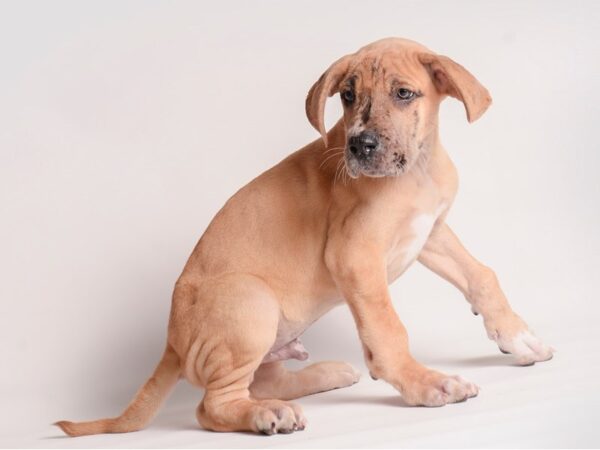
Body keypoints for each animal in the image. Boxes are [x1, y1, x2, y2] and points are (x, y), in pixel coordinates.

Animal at [56, 37, 552, 436]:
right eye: (348, 96)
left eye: (404, 93)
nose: (360, 146)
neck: (417, 170)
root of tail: (172, 344)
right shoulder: (355, 255)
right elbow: (389, 329)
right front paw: (425, 382)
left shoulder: (429, 232)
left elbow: (481, 274)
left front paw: (517, 336)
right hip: (249, 301)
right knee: (213, 407)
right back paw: (266, 415)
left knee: (263, 381)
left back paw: (322, 376)